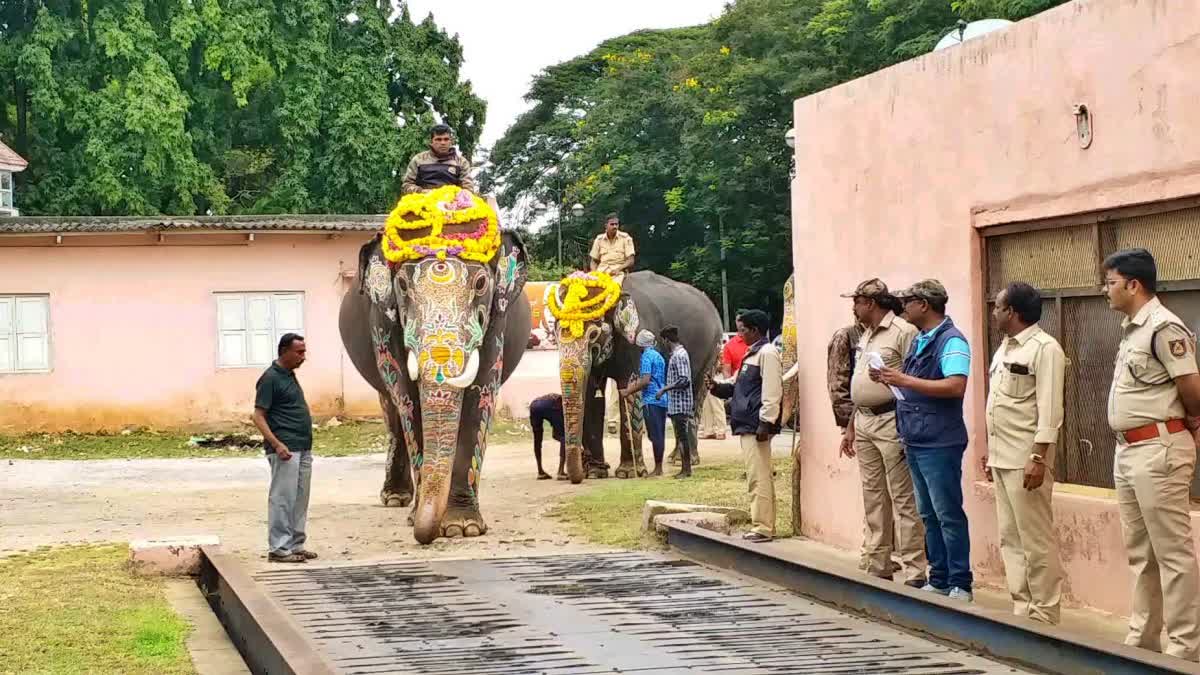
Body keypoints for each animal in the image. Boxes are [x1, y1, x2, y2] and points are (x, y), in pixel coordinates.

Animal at [338, 183, 525, 540]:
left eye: (481, 283)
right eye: (401, 284)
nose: (426, 532)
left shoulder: (499, 319)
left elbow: (482, 392)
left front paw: (463, 528)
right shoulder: (382, 319)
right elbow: (407, 398)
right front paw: (419, 519)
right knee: (391, 408)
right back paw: (395, 498)